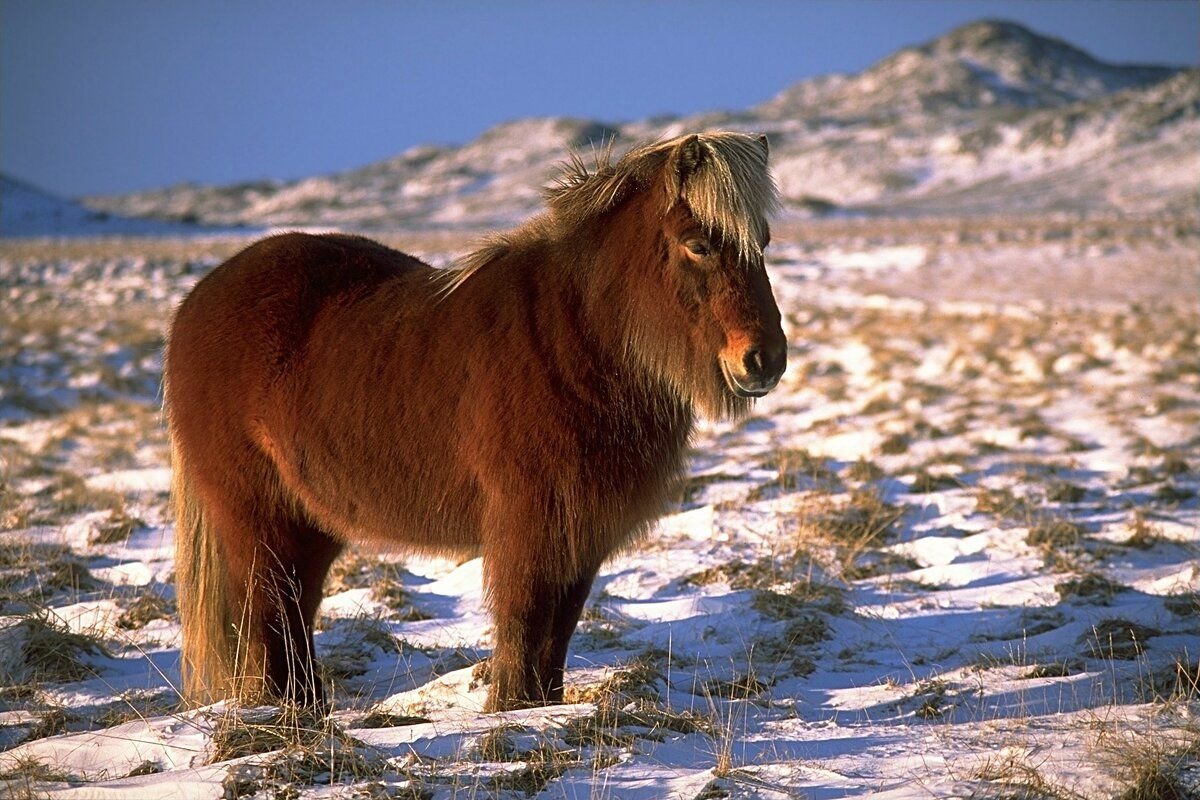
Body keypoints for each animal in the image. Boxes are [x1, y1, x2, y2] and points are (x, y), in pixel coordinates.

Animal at [166, 131, 787, 714]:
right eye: (699, 244)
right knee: (268, 611)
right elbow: (524, 620)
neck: (576, 337)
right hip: (256, 514)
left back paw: (308, 706)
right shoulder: (529, 524)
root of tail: (198, 298)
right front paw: (510, 710)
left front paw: (541, 707)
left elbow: (557, 630)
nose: (765, 360)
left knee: (294, 609)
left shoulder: (581, 531)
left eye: (762, 242)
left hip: (310, 520)